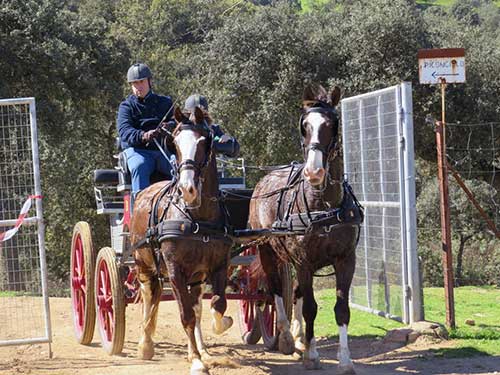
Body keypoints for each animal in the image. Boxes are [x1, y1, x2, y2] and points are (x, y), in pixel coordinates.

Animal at [130, 106, 233, 375]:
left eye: (204, 141)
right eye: (174, 144)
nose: (188, 189)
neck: (198, 218)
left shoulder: (219, 265)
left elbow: (217, 305)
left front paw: (219, 330)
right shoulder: (175, 269)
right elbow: (185, 315)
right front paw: (196, 362)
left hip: (195, 276)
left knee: (195, 305)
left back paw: (202, 351)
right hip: (144, 265)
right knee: (149, 296)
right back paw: (146, 344)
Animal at [249, 85, 360, 374]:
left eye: (332, 124)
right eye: (305, 126)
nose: (313, 171)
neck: (324, 205)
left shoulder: (345, 259)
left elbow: (341, 309)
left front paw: (345, 360)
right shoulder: (304, 261)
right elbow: (310, 307)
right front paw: (312, 355)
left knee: (296, 291)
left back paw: (300, 337)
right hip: (268, 252)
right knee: (276, 290)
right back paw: (287, 337)